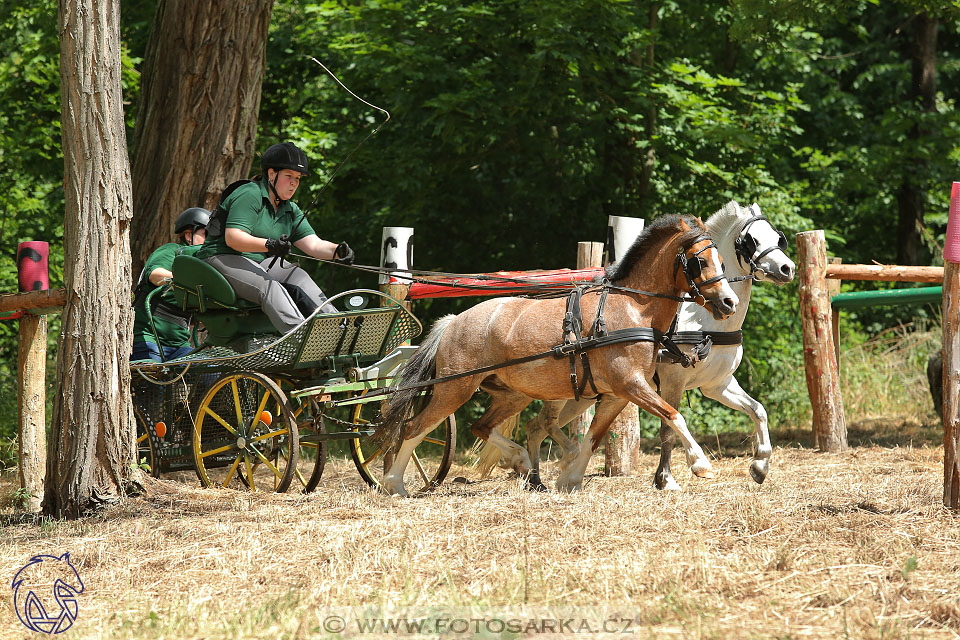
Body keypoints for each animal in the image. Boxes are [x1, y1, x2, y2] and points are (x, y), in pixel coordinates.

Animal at [378, 215, 740, 496]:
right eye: (699, 261)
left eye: (723, 261)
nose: (729, 303)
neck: (633, 308)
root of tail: (454, 322)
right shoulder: (631, 384)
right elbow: (674, 415)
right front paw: (701, 464)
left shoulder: (617, 394)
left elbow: (593, 438)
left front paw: (571, 479)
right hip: (454, 387)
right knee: (414, 428)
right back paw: (394, 483)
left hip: (513, 395)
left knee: (481, 426)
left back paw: (522, 463)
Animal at [484, 200, 800, 490]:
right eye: (751, 240)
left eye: (778, 237)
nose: (787, 268)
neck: (703, 322)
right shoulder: (672, 382)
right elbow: (669, 428)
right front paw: (667, 478)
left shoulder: (717, 384)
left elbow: (758, 410)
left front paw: (760, 466)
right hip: (561, 392)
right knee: (540, 426)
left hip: (581, 395)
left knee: (536, 427)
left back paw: (536, 480)